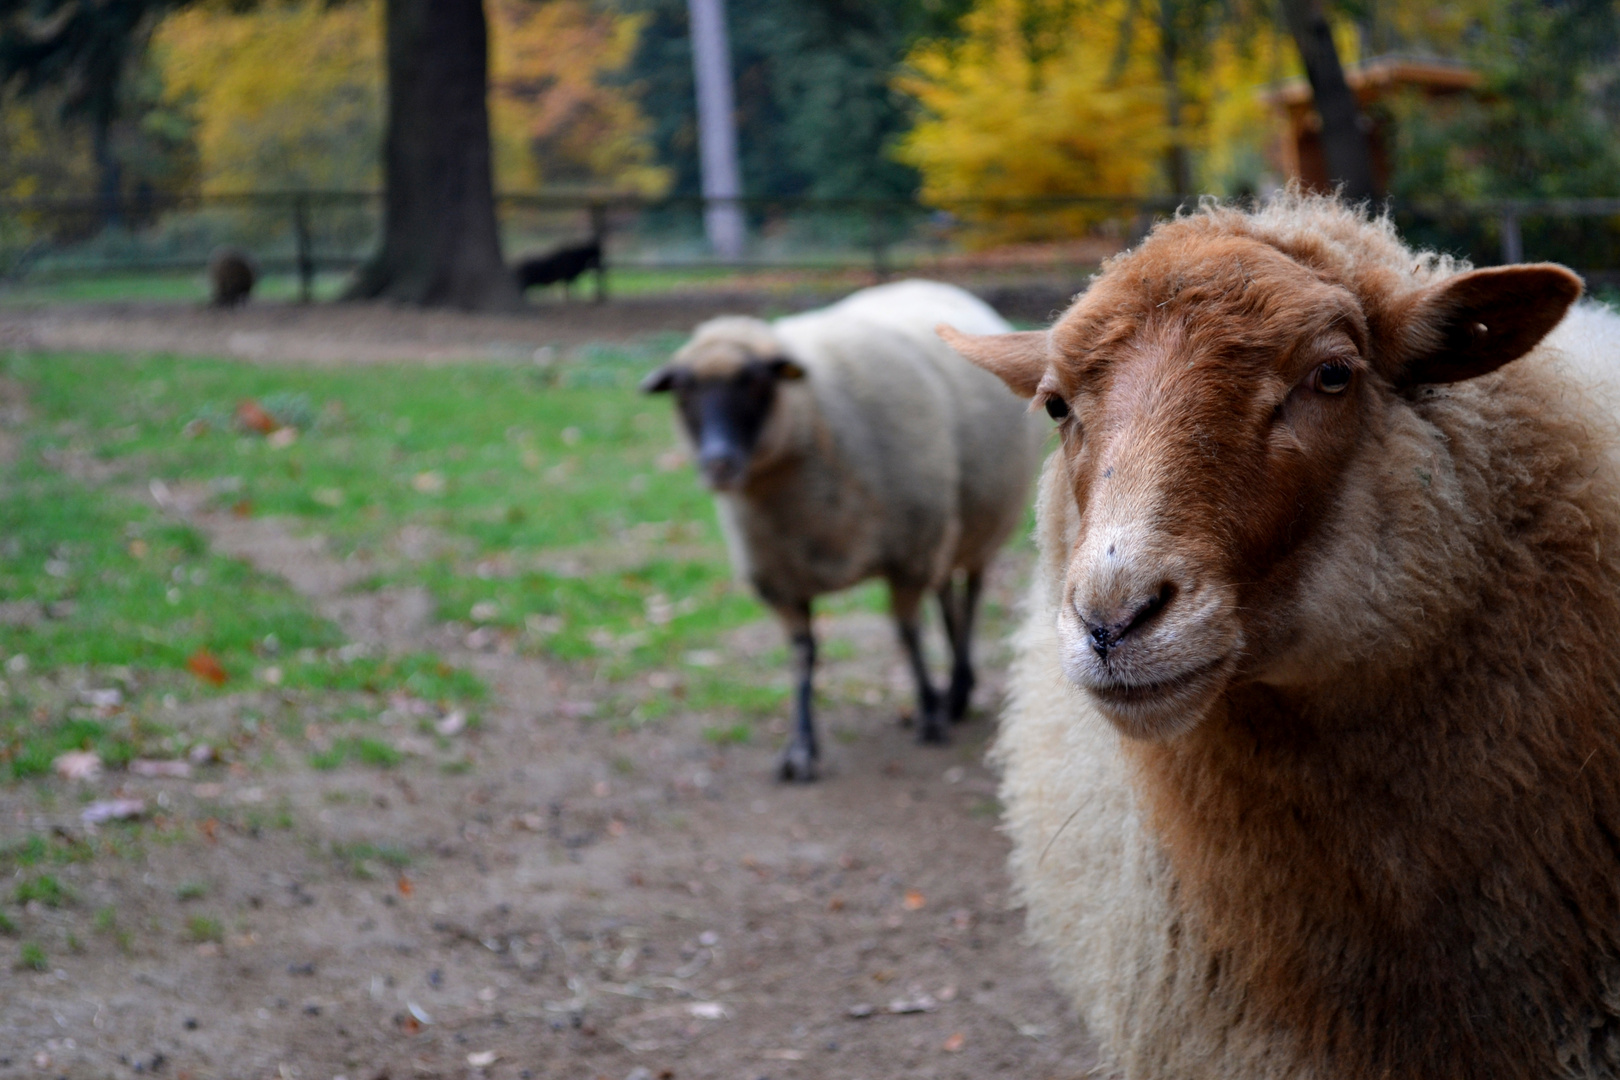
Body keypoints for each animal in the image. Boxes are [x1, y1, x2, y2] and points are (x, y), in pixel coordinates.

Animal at [644, 281, 1049, 777]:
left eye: (755, 381)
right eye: (683, 392)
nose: (717, 464)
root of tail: (932, 285)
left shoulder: (909, 551)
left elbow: (908, 635)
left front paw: (929, 717)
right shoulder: (779, 578)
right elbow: (803, 656)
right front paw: (800, 748)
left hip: (980, 526)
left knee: (969, 597)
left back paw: (955, 689)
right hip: (948, 526)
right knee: (945, 595)